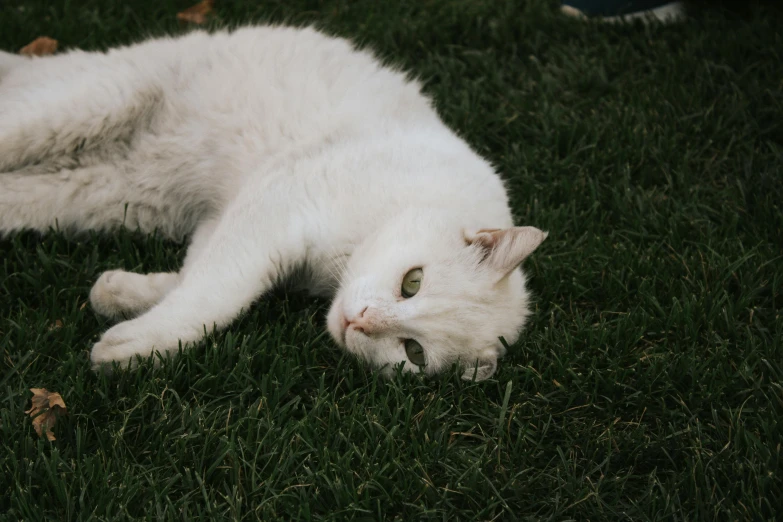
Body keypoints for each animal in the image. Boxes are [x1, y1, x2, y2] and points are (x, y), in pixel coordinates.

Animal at [0, 25, 548, 378]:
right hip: (84, 107)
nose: (360, 321)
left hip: (101, 194)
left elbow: (198, 276)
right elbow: (218, 294)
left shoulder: (231, 218)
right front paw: (132, 348)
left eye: (413, 353)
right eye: (413, 282)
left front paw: (118, 295)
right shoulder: (276, 206)